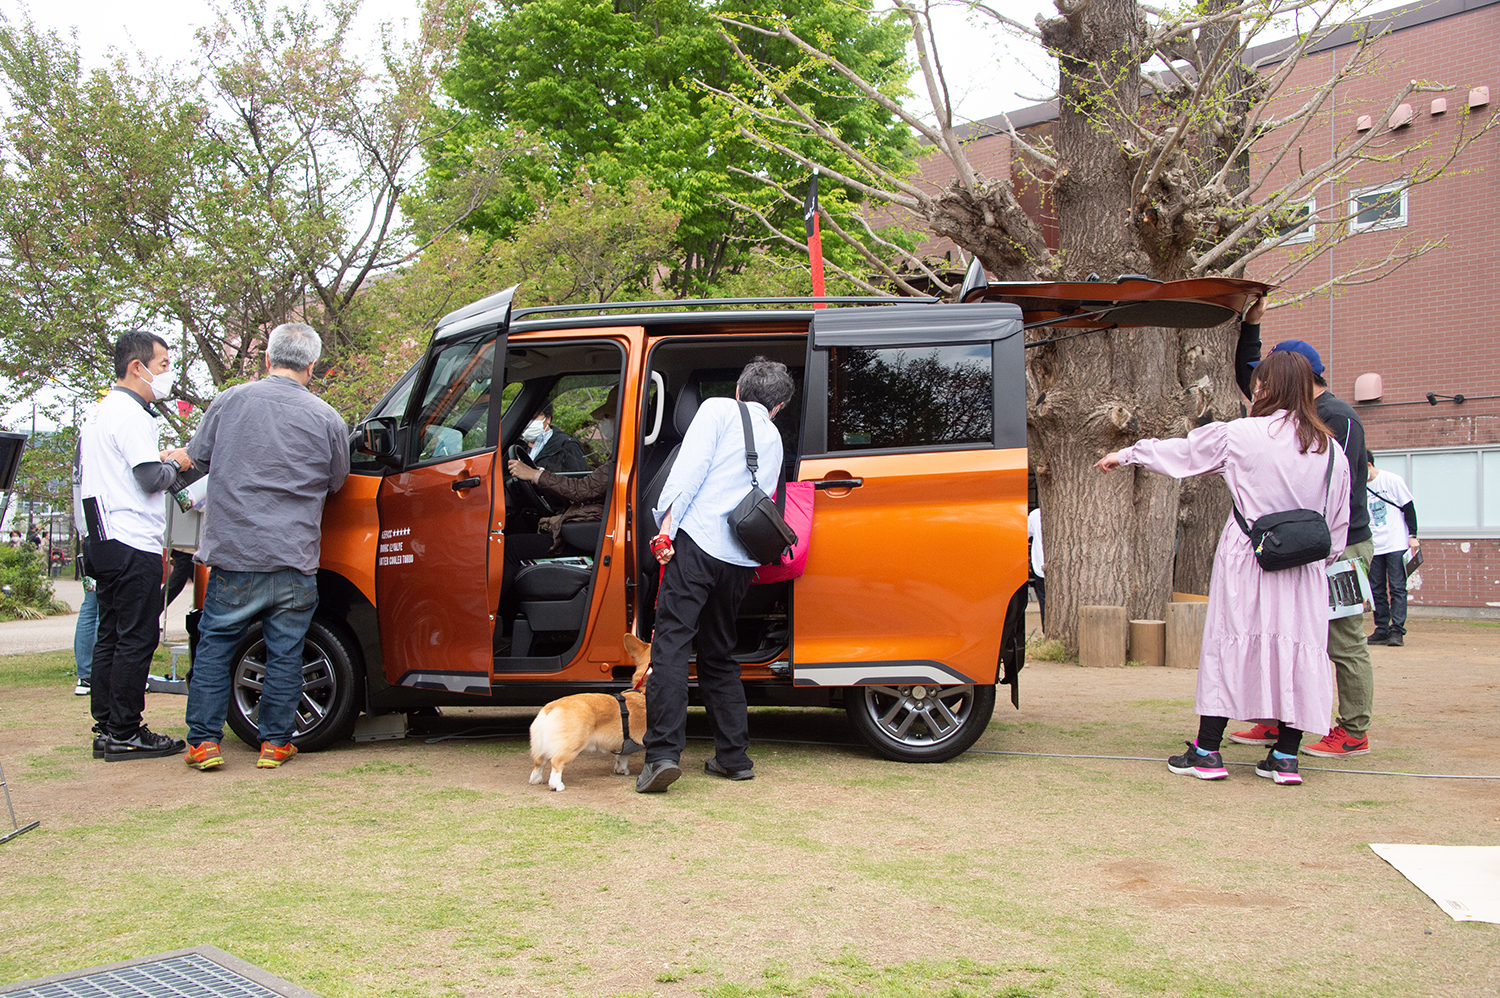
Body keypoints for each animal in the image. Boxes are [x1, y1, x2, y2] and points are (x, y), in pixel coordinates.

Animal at [528, 633, 651, 792]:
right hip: (572, 744)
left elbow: (622, 758)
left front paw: (621, 770)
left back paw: (536, 780)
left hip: (541, 745)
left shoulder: (623, 744)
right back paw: (557, 785)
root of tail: (551, 707)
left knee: (539, 762)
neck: (643, 689)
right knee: (556, 762)